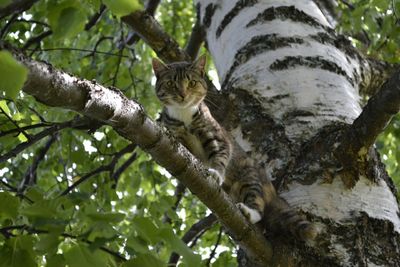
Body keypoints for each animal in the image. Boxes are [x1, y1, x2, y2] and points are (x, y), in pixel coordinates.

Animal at [152, 55, 318, 242]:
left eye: (192, 83)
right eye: (170, 83)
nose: (182, 94)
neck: (184, 114)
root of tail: (272, 191)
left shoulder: (219, 138)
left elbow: (220, 157)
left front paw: (215, 173)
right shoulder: (179, 136)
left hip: (249, 176)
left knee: (257, 205)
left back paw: (248, 211)